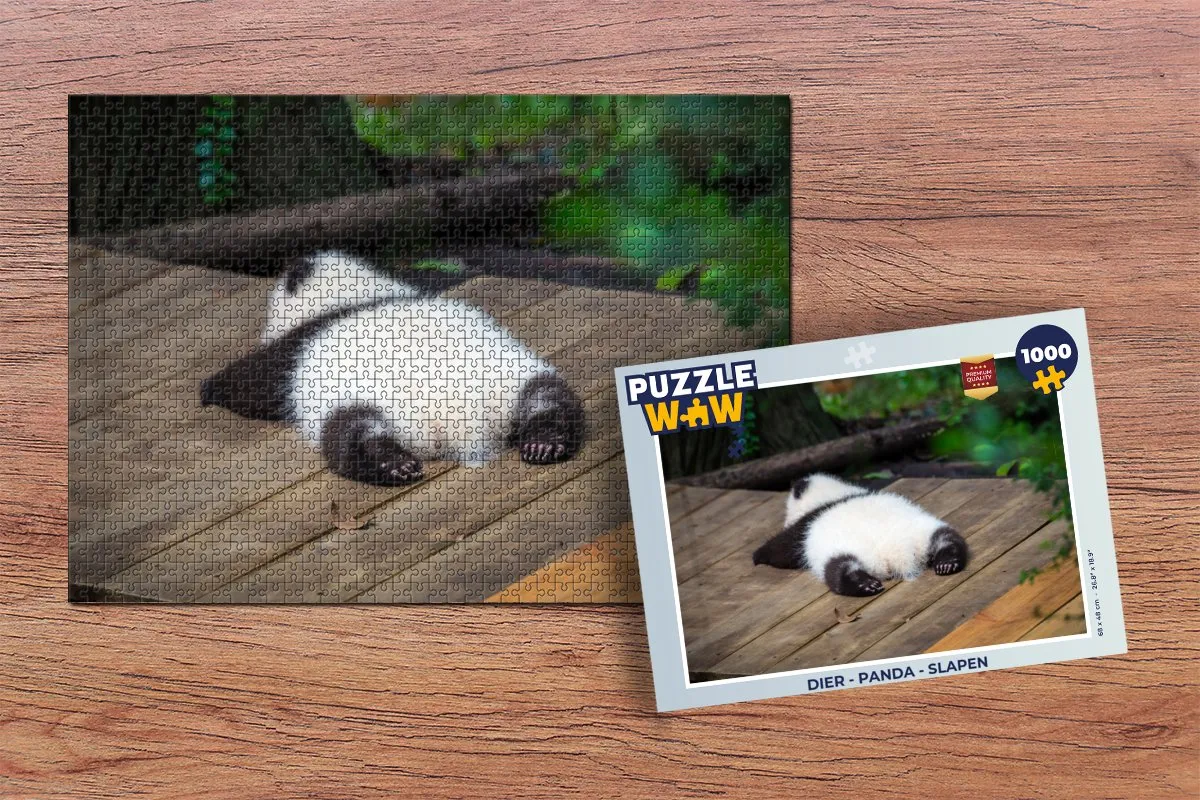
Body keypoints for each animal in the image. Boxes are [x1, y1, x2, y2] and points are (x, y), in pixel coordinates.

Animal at [200, 251, 585, 486]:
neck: (355, 294)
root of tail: (452, 418)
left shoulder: (298, 348)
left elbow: (253, 381)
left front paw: (210, 389)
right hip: (512, 377)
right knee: (549, 397)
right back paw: (545, 441)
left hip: (352, 401)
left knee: (349, 434)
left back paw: (389, 463)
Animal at [752, 473, 968, 596]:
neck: (833, 495)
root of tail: (896, 552)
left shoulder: (805, 526)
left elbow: (782, 549)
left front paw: (758, 556)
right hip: (923, 530)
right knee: (946, 538)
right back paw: (947, 562)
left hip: (841, 550)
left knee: (838, 569)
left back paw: (864, 585)